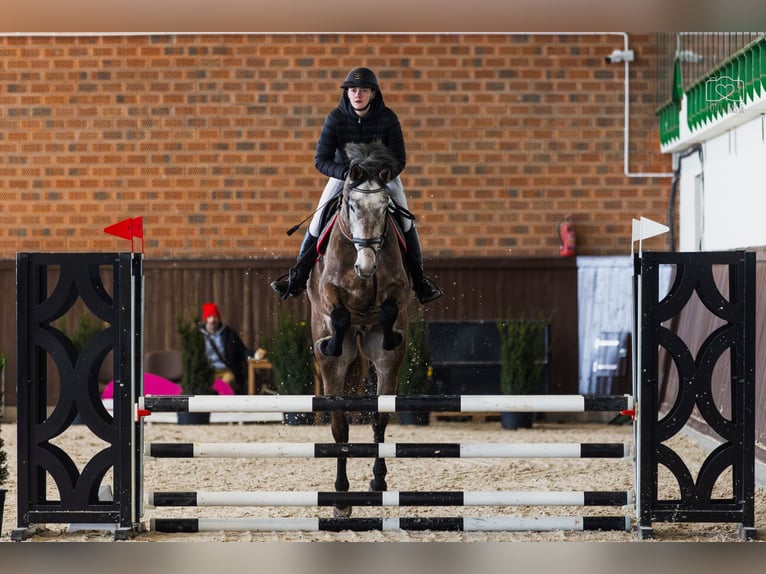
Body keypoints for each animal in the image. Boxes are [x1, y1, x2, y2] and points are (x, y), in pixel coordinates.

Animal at [306, 140, 412, 517]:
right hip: (333, 370)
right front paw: (333, 339)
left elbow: (391, 306)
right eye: (351, 205)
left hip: (386, 364)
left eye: (385, 208)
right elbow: (337, 313)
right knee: (340, 428)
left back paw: (377, 482)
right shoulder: (327, 290)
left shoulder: (400, 288)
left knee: (380, 420)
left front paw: (390, 328)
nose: (366, 266)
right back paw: (341, 499)